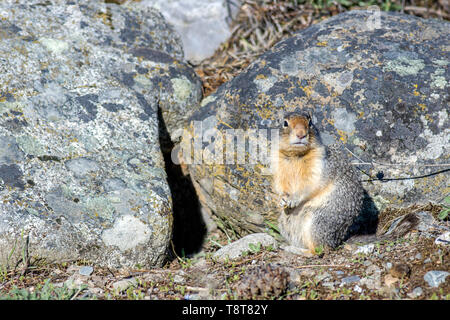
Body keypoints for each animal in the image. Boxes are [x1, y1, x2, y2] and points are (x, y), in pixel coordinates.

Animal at [272, 111, 364, 254]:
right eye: (285, 123)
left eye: (310, 122)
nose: (301, 134)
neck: (296, 155)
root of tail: (336, 241)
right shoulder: (278, 167)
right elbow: (280, 185)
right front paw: (282, 199)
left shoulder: (318, 168)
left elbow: (309, 186)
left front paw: (293, 199)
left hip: (316, 222)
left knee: (317, 251)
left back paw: (294, 249)